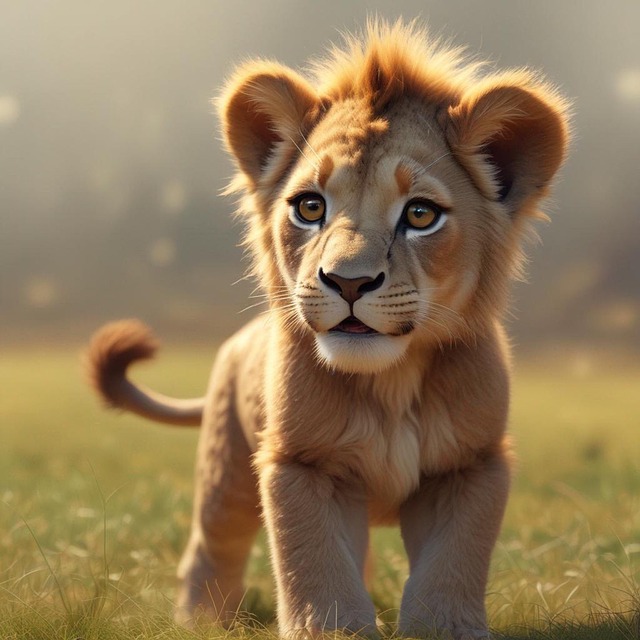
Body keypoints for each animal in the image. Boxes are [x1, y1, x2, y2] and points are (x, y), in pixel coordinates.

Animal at [87, 21, 570, 639]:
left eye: (420, 215)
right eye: (310, 207)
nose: (348, 281)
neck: (391, 383)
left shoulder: (471, 464)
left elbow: (451, 563)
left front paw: (445, 627)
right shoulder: (301, 463)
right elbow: (314, 565)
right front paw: (330, 629)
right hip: (227, 469)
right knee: (211, 546)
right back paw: (202, 622)